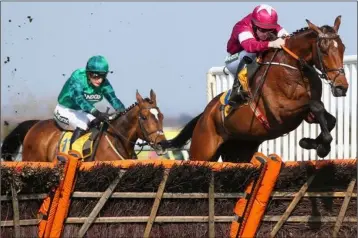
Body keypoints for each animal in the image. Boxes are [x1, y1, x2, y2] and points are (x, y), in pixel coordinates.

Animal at [166, 15, 348, 163]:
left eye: (342, 47)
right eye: (323, 50)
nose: (342, 87)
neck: (294, 69)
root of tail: (204, 114)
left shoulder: (306, 114)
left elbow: (329, 118)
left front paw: (313, 143)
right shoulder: (280, 113)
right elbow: (316, 106)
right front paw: (320, 146)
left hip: (239, 150)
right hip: (202, 151)